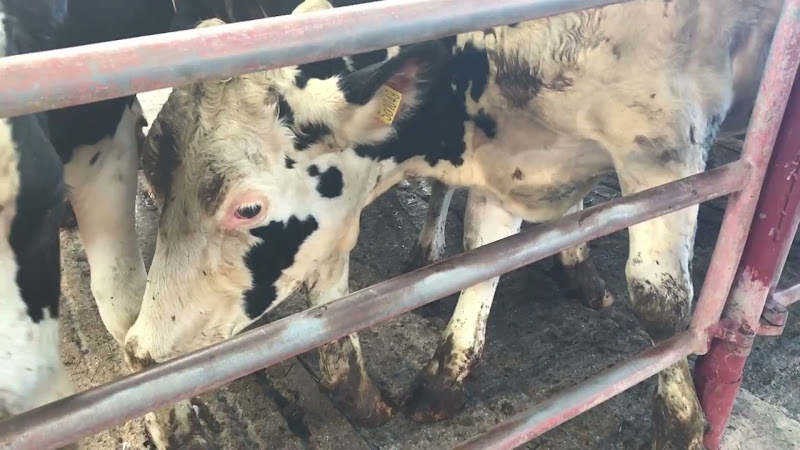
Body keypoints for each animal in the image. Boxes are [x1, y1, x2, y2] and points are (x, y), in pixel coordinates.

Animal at [126, 0, 780, 448]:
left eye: (248, 208)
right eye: (150, 173)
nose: (142, 353)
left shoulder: (665, 150)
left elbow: (659, 303)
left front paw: (683, 422)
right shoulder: (505, 155)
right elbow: (483, 259)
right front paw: (447, 376)